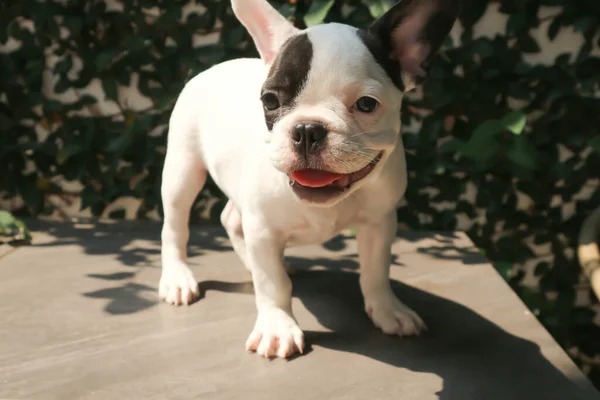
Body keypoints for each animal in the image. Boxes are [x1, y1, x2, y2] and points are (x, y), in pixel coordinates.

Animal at [159, 0, 460, 360]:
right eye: (270, 101)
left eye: (367, 104)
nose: (307, 129)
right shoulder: (263, 228)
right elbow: (273, 284)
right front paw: (277, 327)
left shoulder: (379, 222)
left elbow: (376, 271)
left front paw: (388, 310)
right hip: (182, 172)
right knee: (175, 226)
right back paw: (178, 277)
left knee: (230, 219)